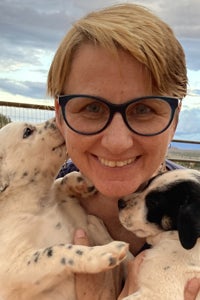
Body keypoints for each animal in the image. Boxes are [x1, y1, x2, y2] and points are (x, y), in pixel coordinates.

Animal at [0, 119, 128, 300]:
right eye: (27, 131)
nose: (56, 120)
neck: (38, 204)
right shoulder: (13, 270)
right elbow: (55, 251)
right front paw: (101, 253)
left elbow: (60, 182)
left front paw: (82, 181)